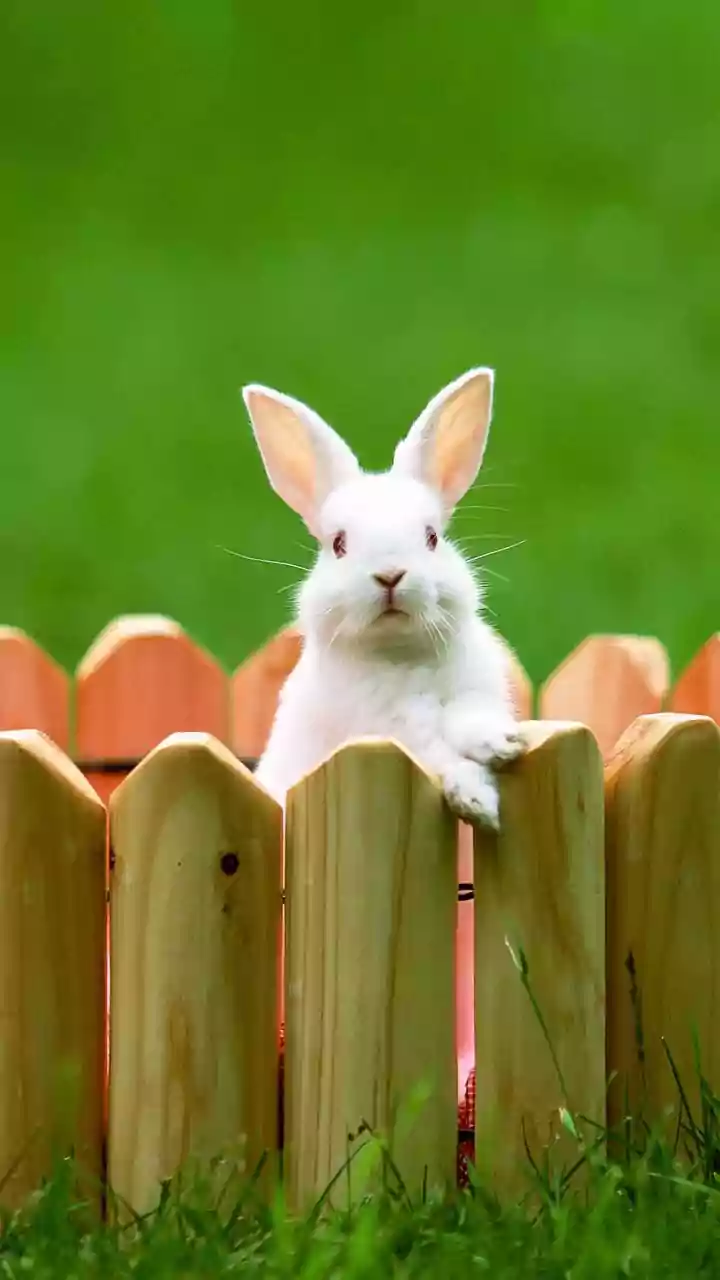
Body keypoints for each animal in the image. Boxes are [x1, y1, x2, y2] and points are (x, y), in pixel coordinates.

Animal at [241, 367, 523, 828]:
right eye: (338, 544)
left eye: (432, 537)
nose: (390, 575)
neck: (401, 656)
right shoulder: (394, 731)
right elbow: (441, 755)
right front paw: (478, 802)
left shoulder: (476, 692)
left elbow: (468, 719)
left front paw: (504, 743)